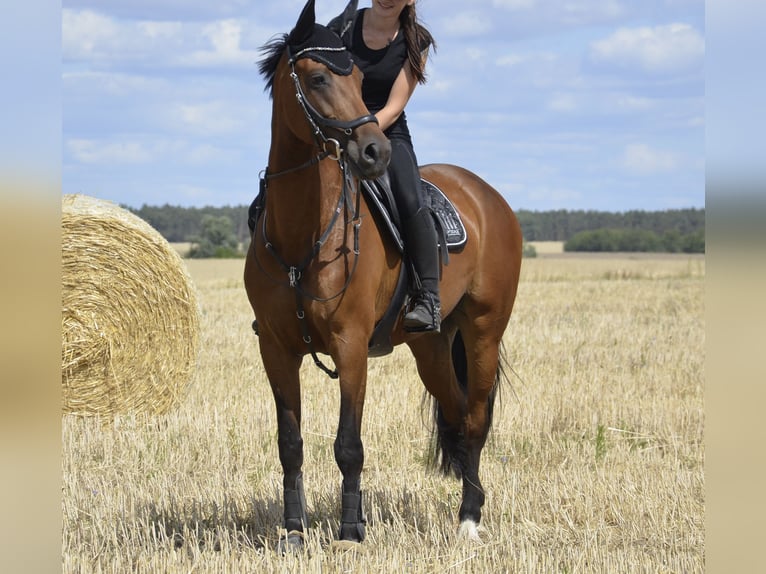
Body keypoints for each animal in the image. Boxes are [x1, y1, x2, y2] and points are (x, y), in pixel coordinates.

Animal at [243, 0, 524, 552]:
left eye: (356, 76)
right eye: (317, 77)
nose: (375, 152)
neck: (302, 233)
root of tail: (489, 197)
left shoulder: (351, 345)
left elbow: (348, 445)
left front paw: (351, 532)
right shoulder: (276, 349)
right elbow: (290, 443)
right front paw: (293, 531)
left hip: (483, 330)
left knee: (476, 419)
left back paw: (470, 519)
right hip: (431, 346)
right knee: (455, 413)